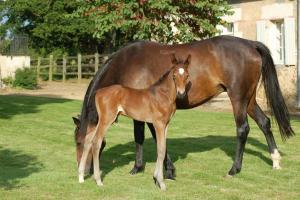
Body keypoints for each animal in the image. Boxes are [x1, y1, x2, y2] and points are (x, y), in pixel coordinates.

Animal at [78, 54, 191, 190]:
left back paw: (81, 177)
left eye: (187, 75)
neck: (163, 95)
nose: (181, 94)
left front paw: (156, 179)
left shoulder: (166, 124)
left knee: (88, 139)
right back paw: (98, 180)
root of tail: (98, 92)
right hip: (106, 120)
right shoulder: (158, 124)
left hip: (99, 121)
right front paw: (161, 182)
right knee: (96, 142)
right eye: (174, 76)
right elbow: (160, 149)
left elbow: (162, 148)